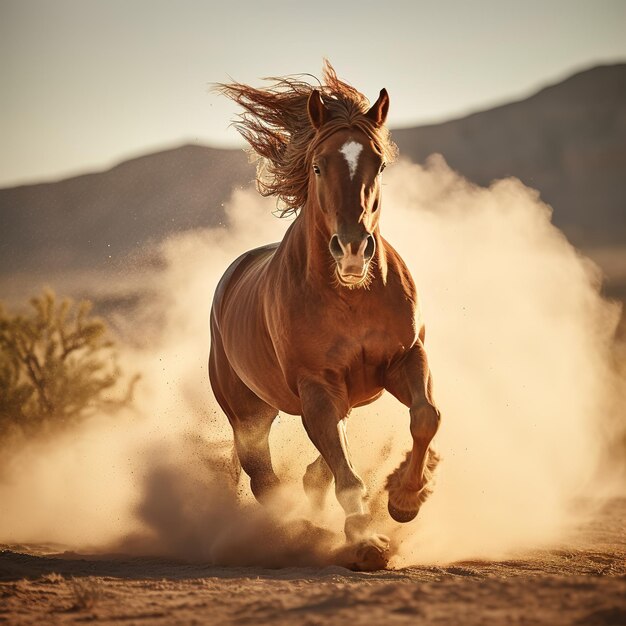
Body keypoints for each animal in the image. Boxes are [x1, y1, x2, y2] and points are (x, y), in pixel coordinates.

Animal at [210, 61, 438, 568]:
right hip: (249, 413)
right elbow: (345, 474)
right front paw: (366, 542)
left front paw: (405, 498)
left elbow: (425, 417)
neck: (349, 297)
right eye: (317, 166)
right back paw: (297, 533)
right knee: (264, 478)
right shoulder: (317, 386)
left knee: (315, 467)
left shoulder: (404, 359)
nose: (352, 249)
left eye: (380, 164)